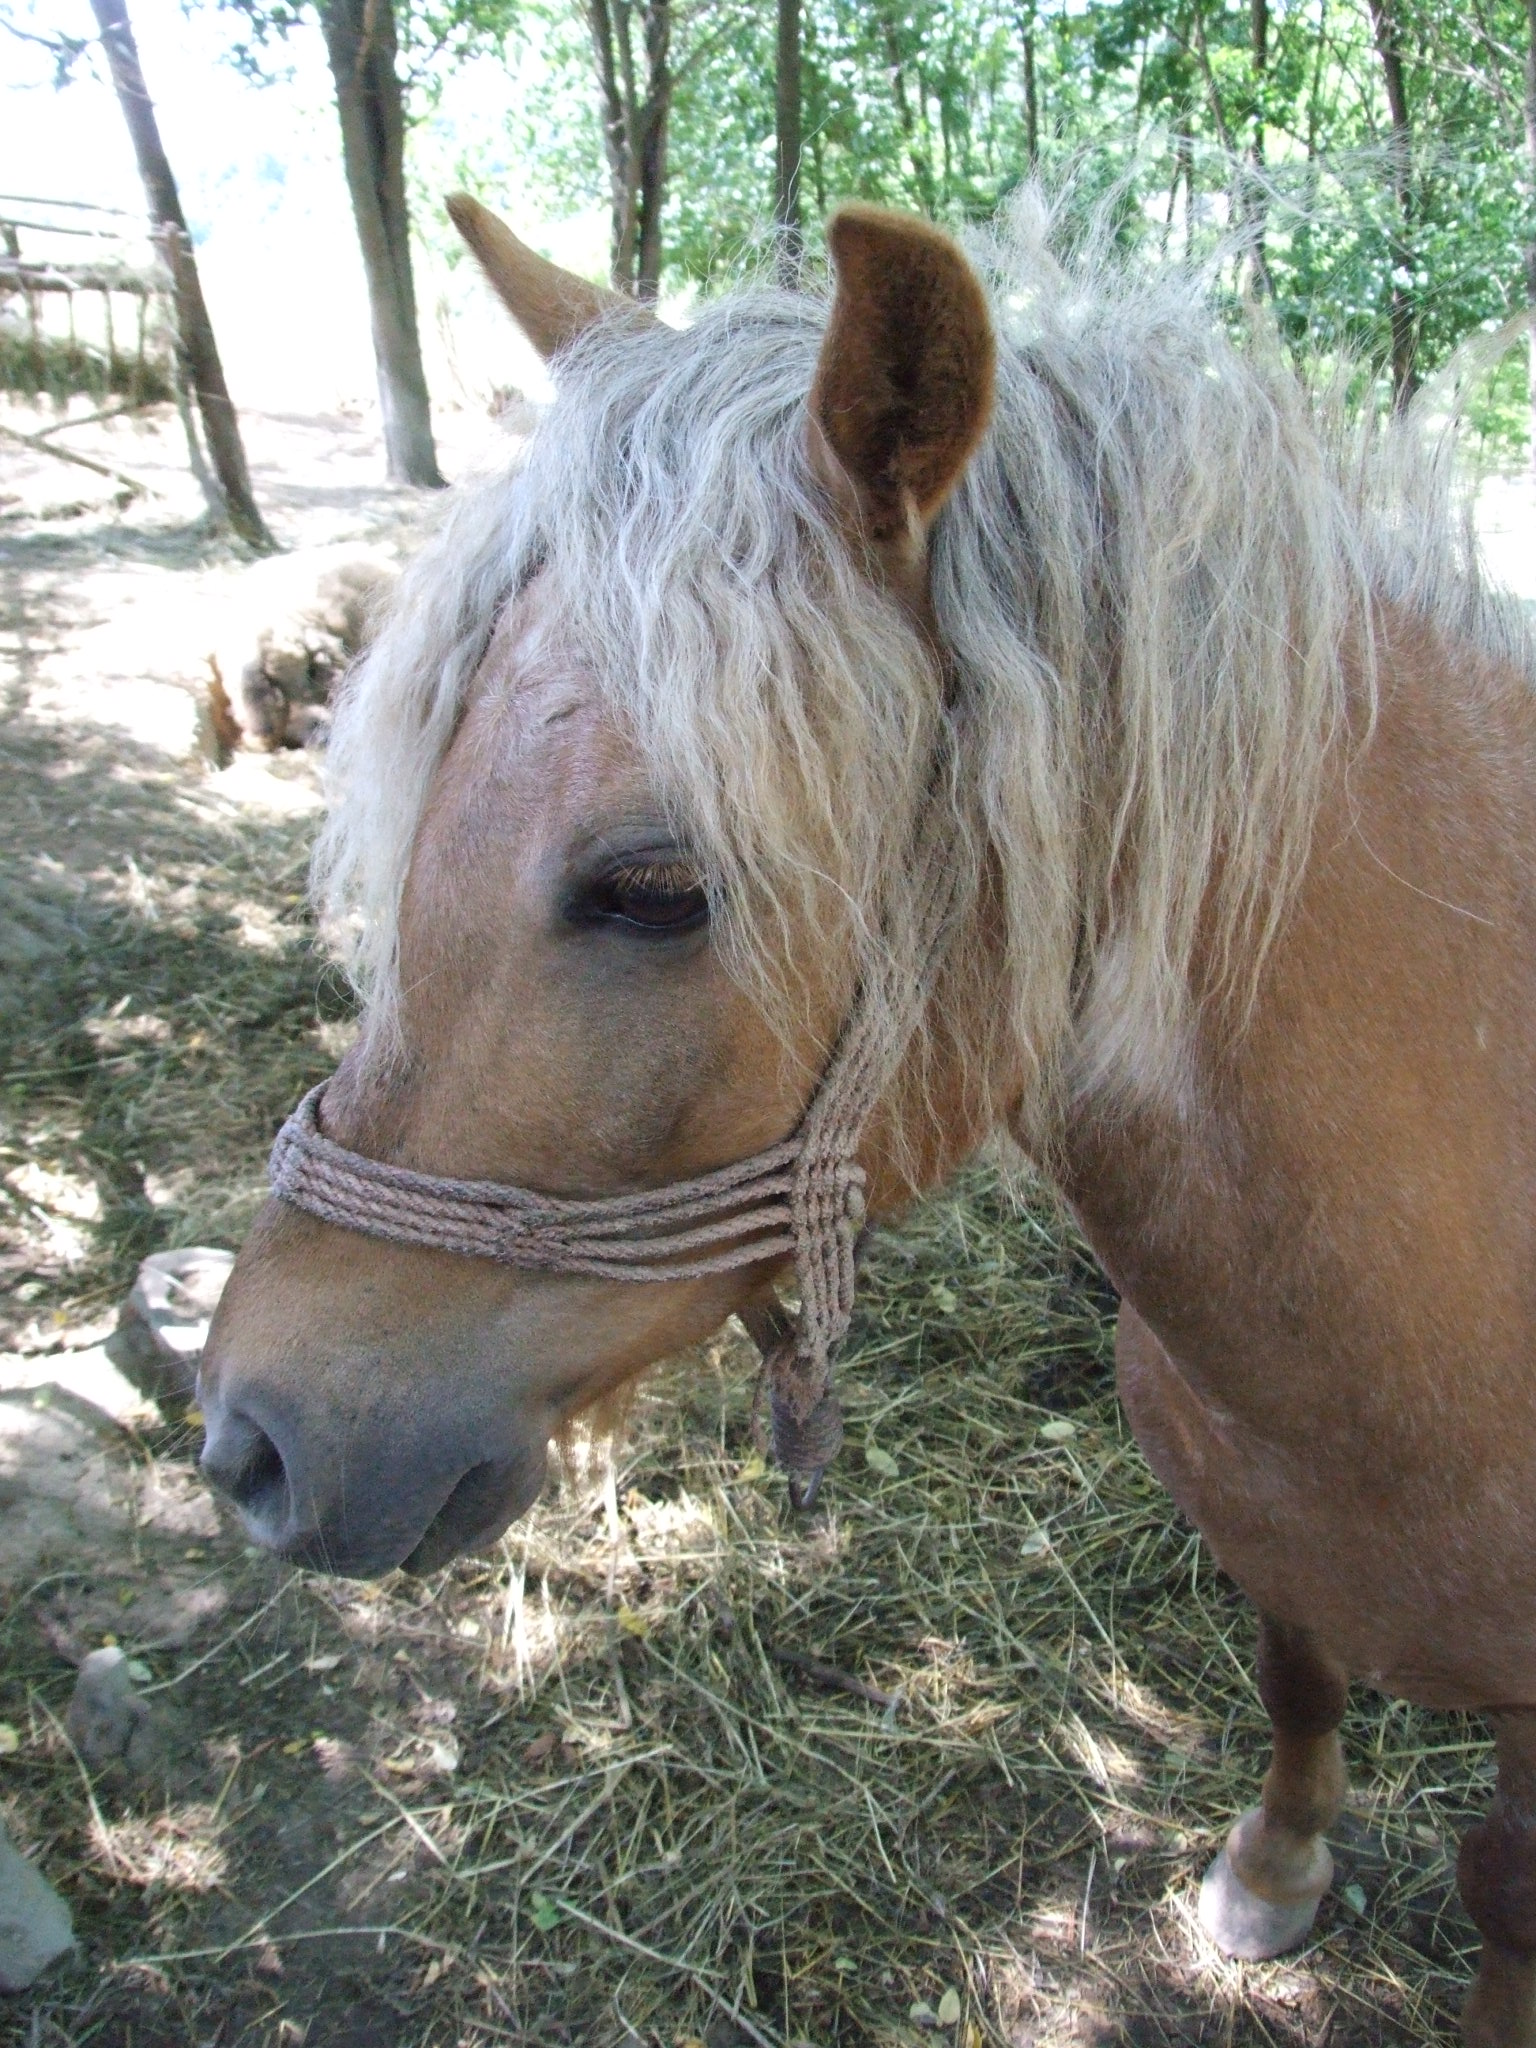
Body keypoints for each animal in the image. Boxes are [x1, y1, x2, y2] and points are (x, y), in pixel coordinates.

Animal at [197, 188, 1536, 2043]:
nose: (247, 1438)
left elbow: (1496, 1893)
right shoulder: (1272, 1550)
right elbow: (1291, 1670)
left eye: (656, 886)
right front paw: (1272, 1870)